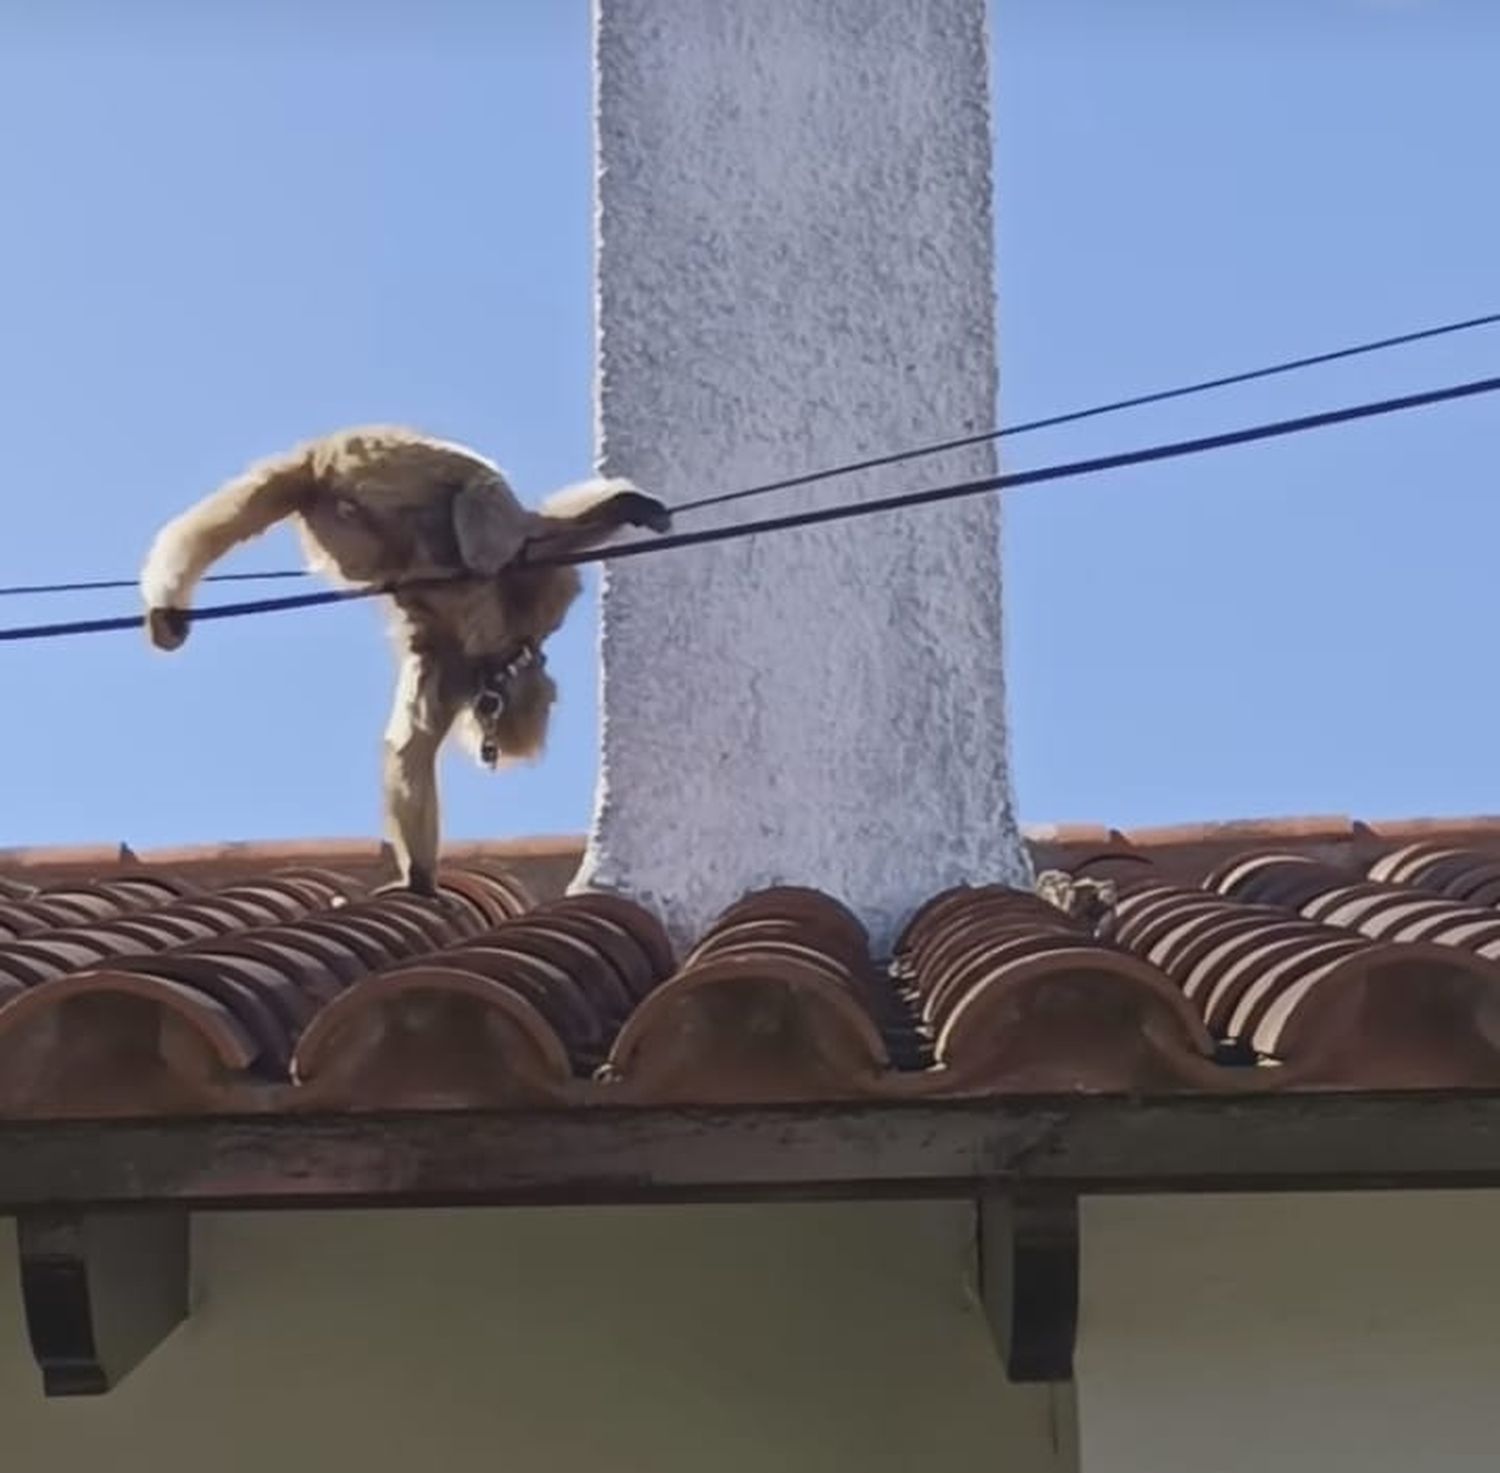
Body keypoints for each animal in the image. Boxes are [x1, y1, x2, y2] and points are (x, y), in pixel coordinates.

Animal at [139, 420, 669, 894]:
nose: (491, 746)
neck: (501, 659)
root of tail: (322, 456)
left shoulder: (448, 664)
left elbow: (408, 748)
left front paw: (418, 878)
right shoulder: (525, 611)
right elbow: (546, 542)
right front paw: (624, 506)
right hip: (386, 458)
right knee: (483, 503)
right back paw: (479, 546)